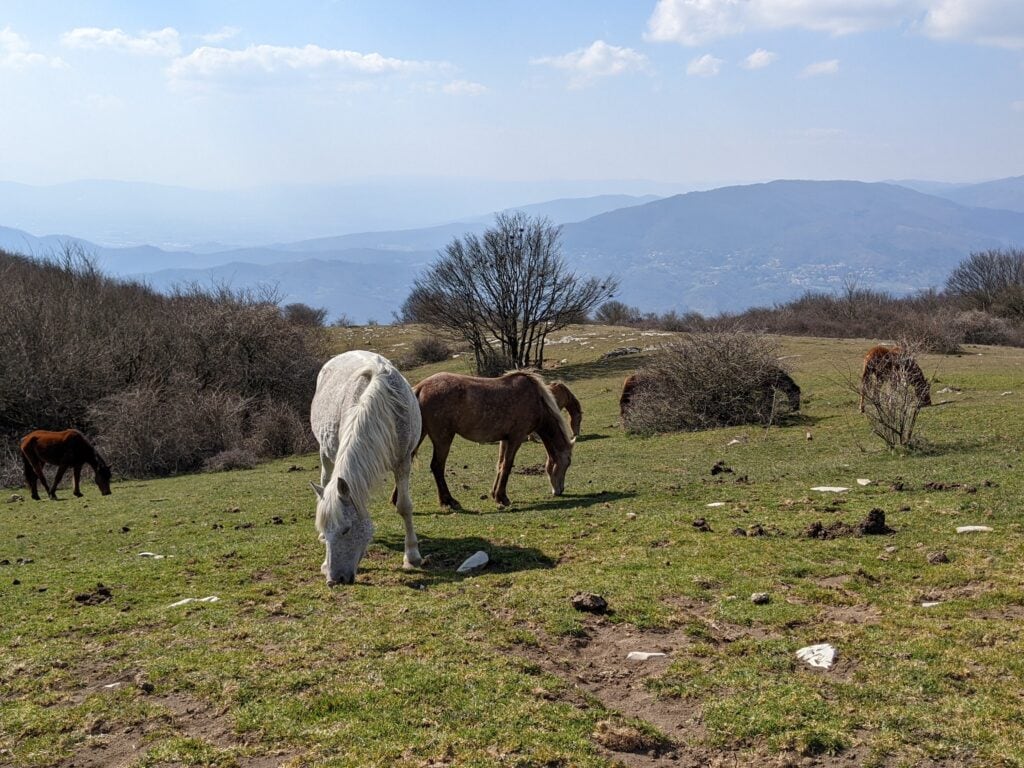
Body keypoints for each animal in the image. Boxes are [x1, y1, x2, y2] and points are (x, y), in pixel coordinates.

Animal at [309, 350, 422, 585]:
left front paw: (412, 556)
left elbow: (404, 506)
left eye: (346, 530)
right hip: (325, 452)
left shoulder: (403, 461)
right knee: (325, 480)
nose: (334, 579)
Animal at [414, 370, 574, 508]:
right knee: (437, 466)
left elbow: (500, 464)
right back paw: (449, 501)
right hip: (443, 438)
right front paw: (503, 498)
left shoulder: (505, 439)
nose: (559, 490)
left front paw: (495, 494)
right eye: (567, 463)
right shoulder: (516, 437)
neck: (536, 400)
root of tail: (421, 387)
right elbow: (507, 465)